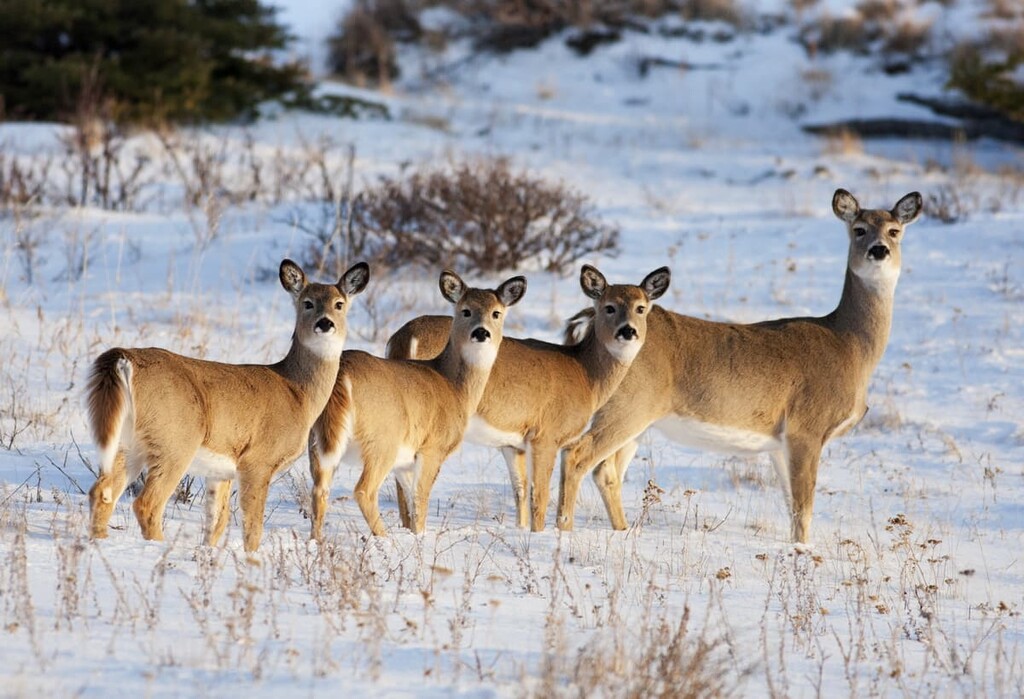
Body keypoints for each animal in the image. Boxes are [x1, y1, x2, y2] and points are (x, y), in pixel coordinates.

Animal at [86, 259, 369, 552]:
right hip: (175, 440)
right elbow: (252, 526)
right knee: (147, 504)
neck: (298, 393)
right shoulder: (257, 459)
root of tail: (125, 358)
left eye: (339, 303)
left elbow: (217, 522)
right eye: (308, 303)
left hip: (127, 442)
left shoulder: (221, 472)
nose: (325, 323)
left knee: (102, 492)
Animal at [307, 270, 526, 538]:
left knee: (319, 491)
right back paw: (384, 538)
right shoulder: (432, 447)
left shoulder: (405, 462)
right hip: (381, 442)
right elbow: (421, 499)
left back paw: (317, 541)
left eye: (496, 312)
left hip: (317, 442)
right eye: (465, 311)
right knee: (364, 491)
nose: (481, 332)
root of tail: (342, 374)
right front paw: (421, 538)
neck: (455, 388)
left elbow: (411, 501)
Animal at [385, 265, 671, 531]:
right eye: (609, 307)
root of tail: (405, 336)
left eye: (641, 308)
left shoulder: (514, 443)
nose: (628, 331)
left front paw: (521, 530)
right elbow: (540, 497)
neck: (585, 374)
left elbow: (521, 491)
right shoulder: (546, 435)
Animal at [556, 189, 923, 544]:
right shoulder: (807, 426)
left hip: (640, 418)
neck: (850, 345)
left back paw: (622, 531)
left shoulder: (781, 442)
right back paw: (564, 528)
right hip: (629, 406)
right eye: (859, 229)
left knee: (607, 471)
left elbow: (792, 507)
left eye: (895, 231)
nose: (879, 250)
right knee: (578, 455)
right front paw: (804, 552)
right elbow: (804, 508)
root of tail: (590, 321)